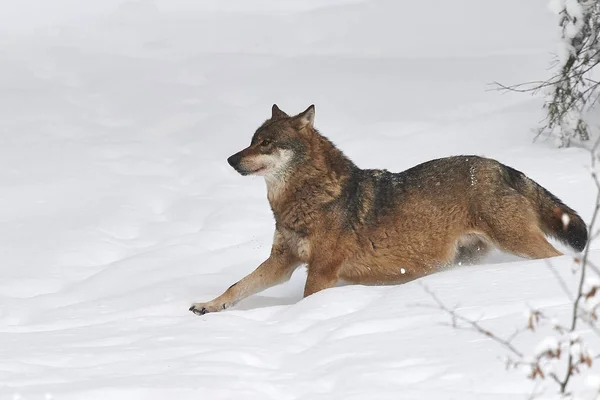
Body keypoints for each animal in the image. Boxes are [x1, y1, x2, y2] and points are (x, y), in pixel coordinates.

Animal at [190, 104, 588, 316]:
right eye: (252, 141)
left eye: (266, 143)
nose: (230, 159)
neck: (304, 198)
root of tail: (499, 166)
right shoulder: (282, 262)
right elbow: (237, 287)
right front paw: (208, 306)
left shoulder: (321, 271)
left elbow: (304, 301)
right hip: (469, 256)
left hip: (519, 243)